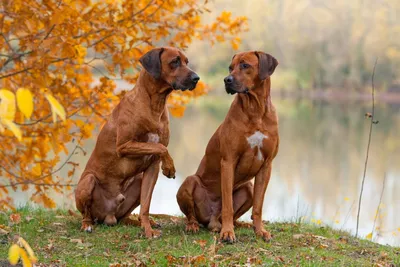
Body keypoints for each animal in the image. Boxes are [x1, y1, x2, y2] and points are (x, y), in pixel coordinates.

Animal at [75, 46, 200, 239]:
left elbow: (146, 206)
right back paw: (87, 224)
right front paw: (169, 167)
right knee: (86, 214)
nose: (196, 78)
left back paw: (139, 222)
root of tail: (107, 216)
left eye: (187, 61)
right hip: (88, 181)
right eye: (175, 61)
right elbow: (160, 147)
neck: (155, 104)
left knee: (124, 217)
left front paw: (148, 230)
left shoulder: (151, 167)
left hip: (136, 184)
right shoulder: (124, 145)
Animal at [177, 50, 280, 243]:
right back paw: (195, 225)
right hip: (190, 181)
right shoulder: (228, 161)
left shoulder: (267, 165)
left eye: (245, 65)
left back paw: (238, 225)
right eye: (230, 68)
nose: (227, 80)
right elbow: (227, 205)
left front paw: (260, 231)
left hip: (248, 187)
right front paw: (227, 233)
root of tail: (211, 219)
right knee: (192, 214)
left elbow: (258, 206)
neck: (255, 110)